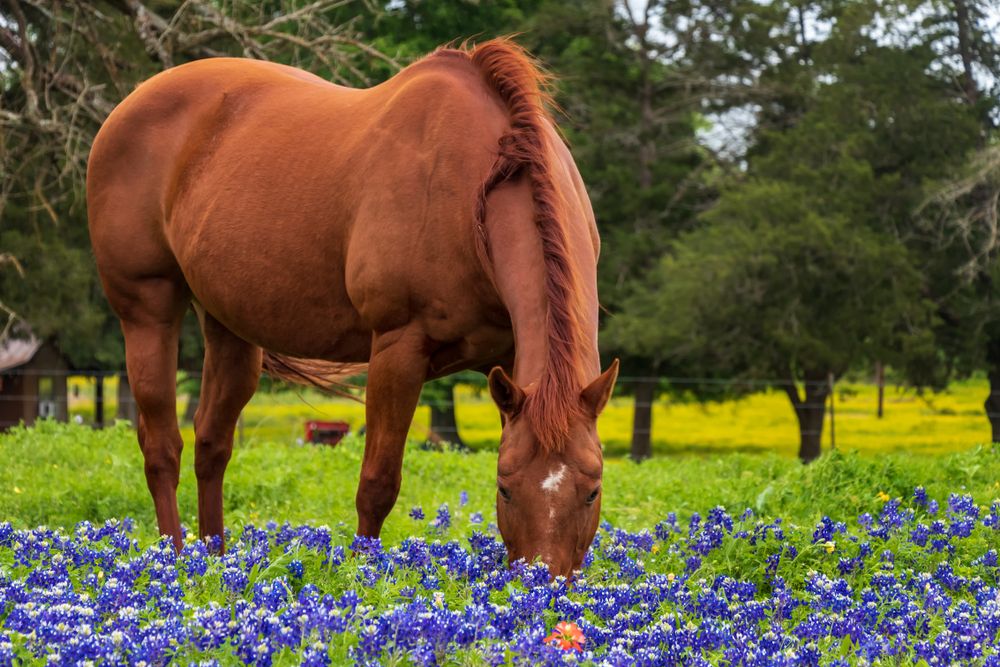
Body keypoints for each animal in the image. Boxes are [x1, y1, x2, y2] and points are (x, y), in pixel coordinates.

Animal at [87, 38, 618, 577]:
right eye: (505, 488)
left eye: (592, 490)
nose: (542, 583)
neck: (474, 189)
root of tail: (131, 104)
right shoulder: (398, 350)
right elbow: (378, 483)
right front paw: (365, 575)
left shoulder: (512, 362)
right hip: (148, 309)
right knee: (162, 447)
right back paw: (174, 562)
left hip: (230, 327)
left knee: (212, 443)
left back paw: (215, 562)